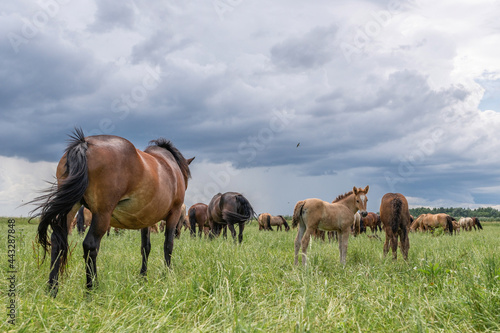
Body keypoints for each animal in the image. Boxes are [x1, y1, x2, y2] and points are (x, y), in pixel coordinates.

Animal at [29, 128, 193, 294]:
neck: (169, 166)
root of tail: (85, 144)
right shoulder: (174, 214)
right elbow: (168, 245)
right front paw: (168, 274)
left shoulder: (146, 219)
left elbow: (145, 247)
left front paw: (143, 277)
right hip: (102, 214)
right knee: (90, 245)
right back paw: (91, 289)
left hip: (70, 209)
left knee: (57, 241)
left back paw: (52, 288)